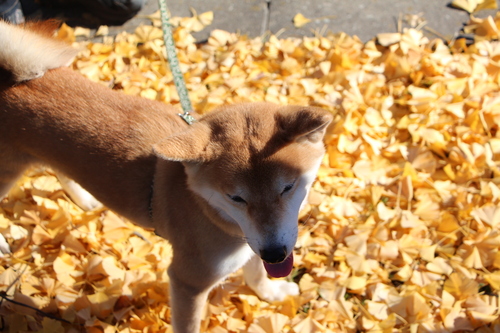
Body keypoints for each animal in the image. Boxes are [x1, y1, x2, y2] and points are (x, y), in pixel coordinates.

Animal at [0, 21, 336, 332]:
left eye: (288, 187)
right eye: (236, 198)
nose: (276, 254)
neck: (210, 211)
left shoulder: (255, 243)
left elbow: (255, 274)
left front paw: (271, 293)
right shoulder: (189, 280)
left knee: (60, 169)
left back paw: (84, 200)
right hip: (6, 174)